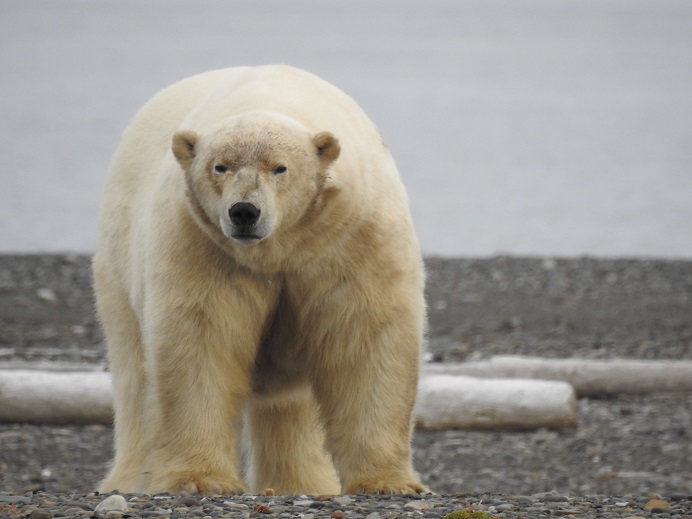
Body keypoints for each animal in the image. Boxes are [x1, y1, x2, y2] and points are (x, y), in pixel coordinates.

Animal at [92, 65, 428, 496]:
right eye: (220, 166)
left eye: (279, 167)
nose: (244, 212)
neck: (281, 249)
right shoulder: (202, 246)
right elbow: (200, 341)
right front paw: (201, 479)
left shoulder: (352, 239)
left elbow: (365, 338)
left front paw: (387, 483)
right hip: (119, 260)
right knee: (133, 374)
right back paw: (128, 480)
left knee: (290, 407)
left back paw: (304, 484)